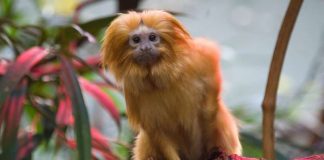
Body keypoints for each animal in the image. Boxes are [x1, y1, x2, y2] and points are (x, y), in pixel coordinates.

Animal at [100, 10, 240, 159]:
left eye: (152, 37)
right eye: (136, 40)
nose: (145, 48)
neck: (159, 76)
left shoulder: (194, 60)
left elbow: (210, 107)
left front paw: (208, 109)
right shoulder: (133, 91)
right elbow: (155, 131)